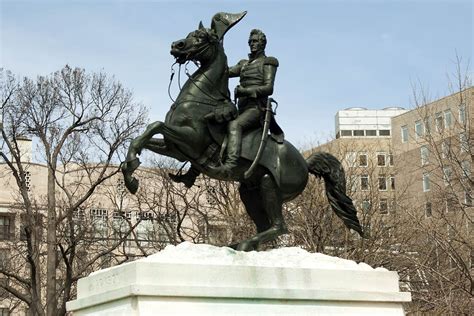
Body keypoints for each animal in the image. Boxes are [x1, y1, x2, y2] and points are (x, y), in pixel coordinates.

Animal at [121, 11, 362, 251]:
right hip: (248, 191)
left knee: (280, 226)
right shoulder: (176, 149)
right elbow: (141, 137)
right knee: (265, 225)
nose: (176, 45)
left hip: (268, 185)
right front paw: (130, 173)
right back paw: (239, 244)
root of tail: (305, 162)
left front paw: (132, 173)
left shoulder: (191, 140)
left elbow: (155, 125)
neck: (201, 99)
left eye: (201, 37)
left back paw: (246, 243)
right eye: (190, 34)